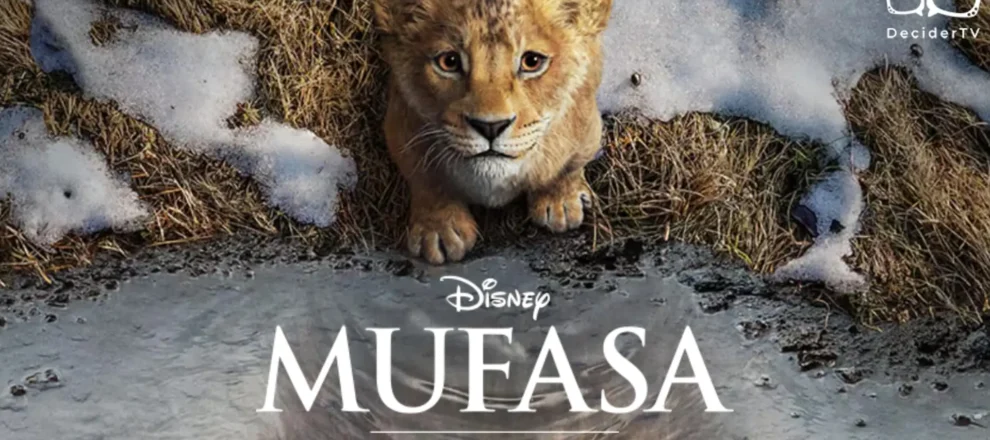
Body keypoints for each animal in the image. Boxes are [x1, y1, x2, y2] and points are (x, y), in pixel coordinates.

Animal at [373, 0, 613, 265]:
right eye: (449, 61)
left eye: (532, 61)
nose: (490, 126)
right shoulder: (400, 128)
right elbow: (426, 179)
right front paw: (439, 230)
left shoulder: (587, 128)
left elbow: (568, 166)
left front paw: (561, 202)